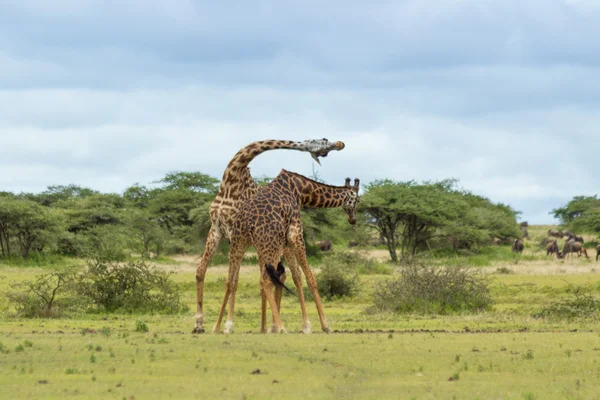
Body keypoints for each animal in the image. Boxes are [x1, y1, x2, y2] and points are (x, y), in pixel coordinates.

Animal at [191, 139, 342, 332]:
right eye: (322, 143)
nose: (338, 144)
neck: (231, 181)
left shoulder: (233, 233)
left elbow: (234, 281)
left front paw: (228, 324)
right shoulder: (216, 230)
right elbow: (201, 271)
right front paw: (199, 323)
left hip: (283, 246)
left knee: (294, 275)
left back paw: (302, 325)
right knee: (279, 276)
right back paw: (270, 327)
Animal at [212, 169, 358, 334]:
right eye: (357, 200)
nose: (353, 219)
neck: (301, 190)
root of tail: (248, 222)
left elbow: (292, 276)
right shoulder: (295, 235)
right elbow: (308, 278)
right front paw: (323, 325)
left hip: (239, 244)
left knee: (231, 280)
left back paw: (220, 327)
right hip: (271, 246)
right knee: (266, 280)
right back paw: (280, 327)